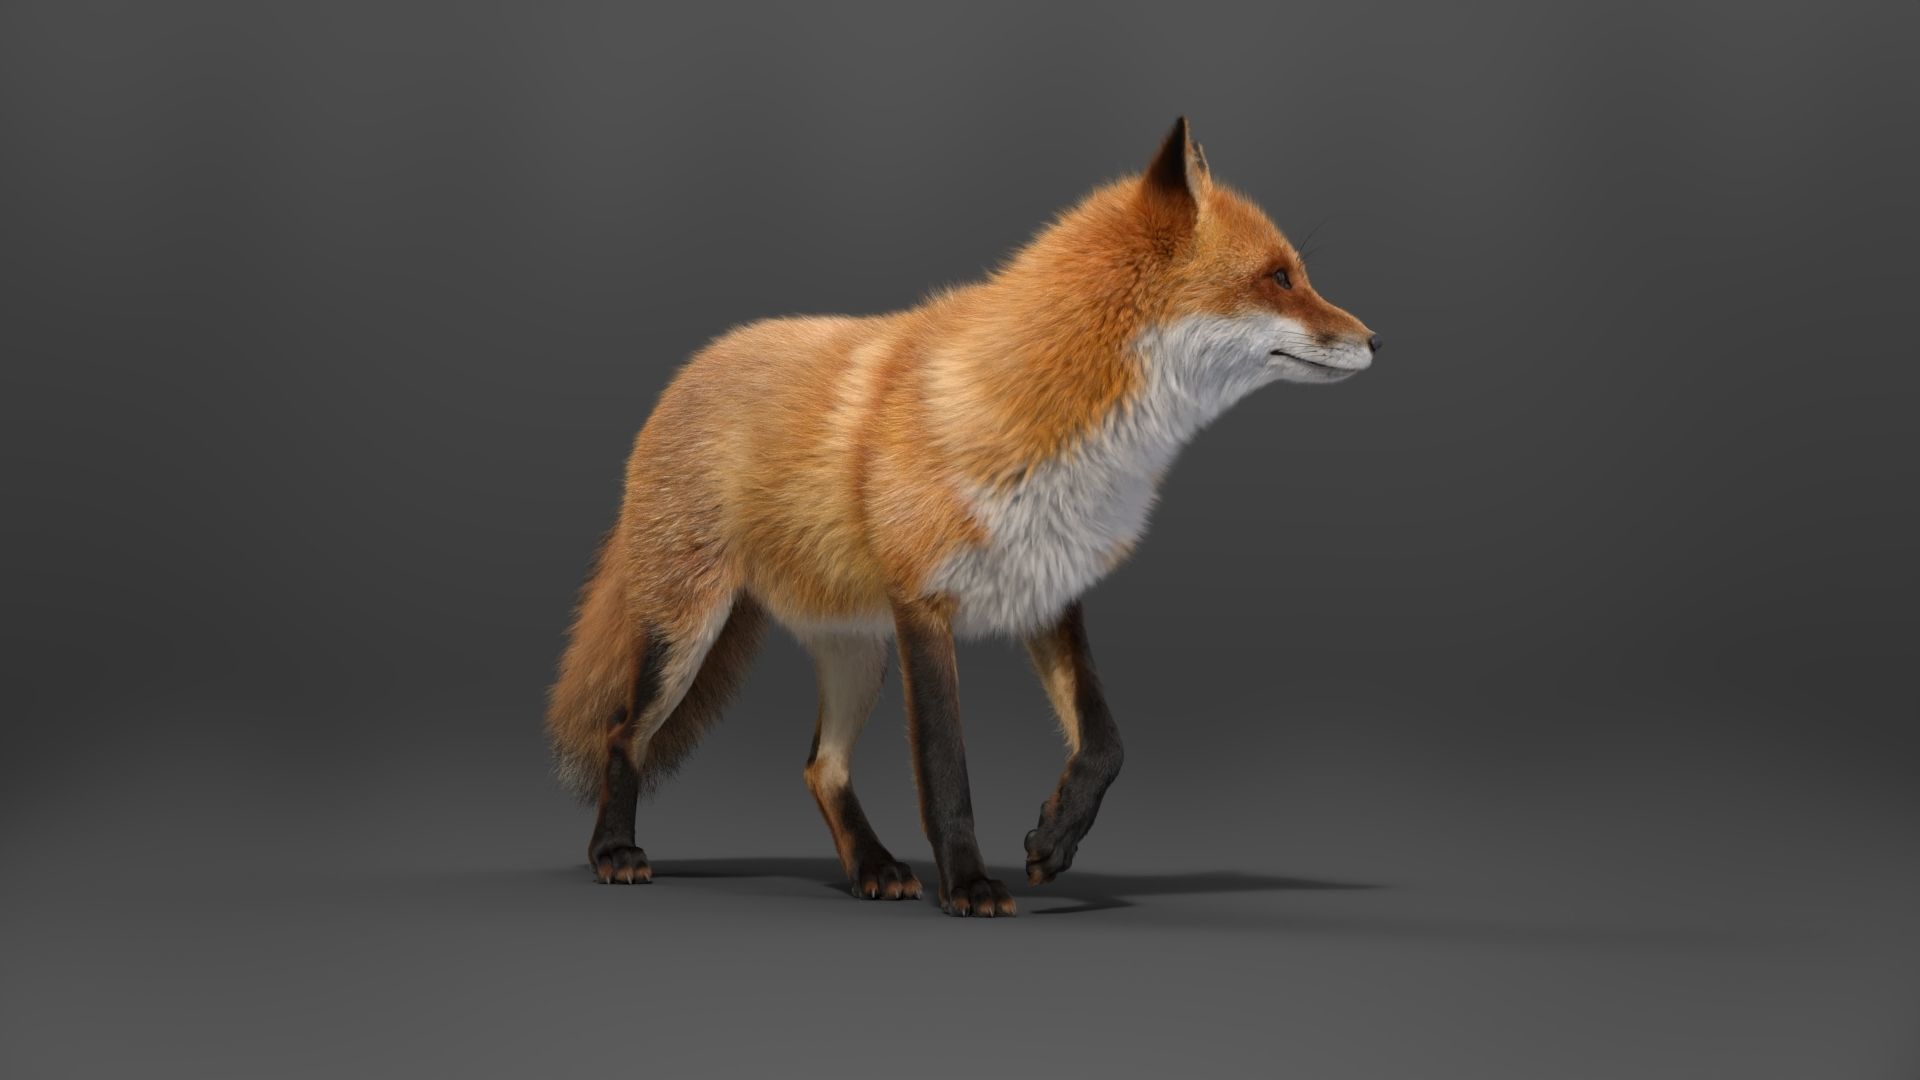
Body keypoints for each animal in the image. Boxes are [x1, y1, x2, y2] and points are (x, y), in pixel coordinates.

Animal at [545, 118, 1379, 917]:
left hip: (856, 652)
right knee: (625, 732)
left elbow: (1106, 743)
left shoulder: (1047, 591)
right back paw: (614, 851)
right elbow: (947, 772)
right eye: (1279, 278)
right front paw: (971, 885)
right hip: (688, 635)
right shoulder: (924, 606)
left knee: (822, 767)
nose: (1377, 340)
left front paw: (1053, 839)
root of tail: (691, 368)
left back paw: (874, 869)